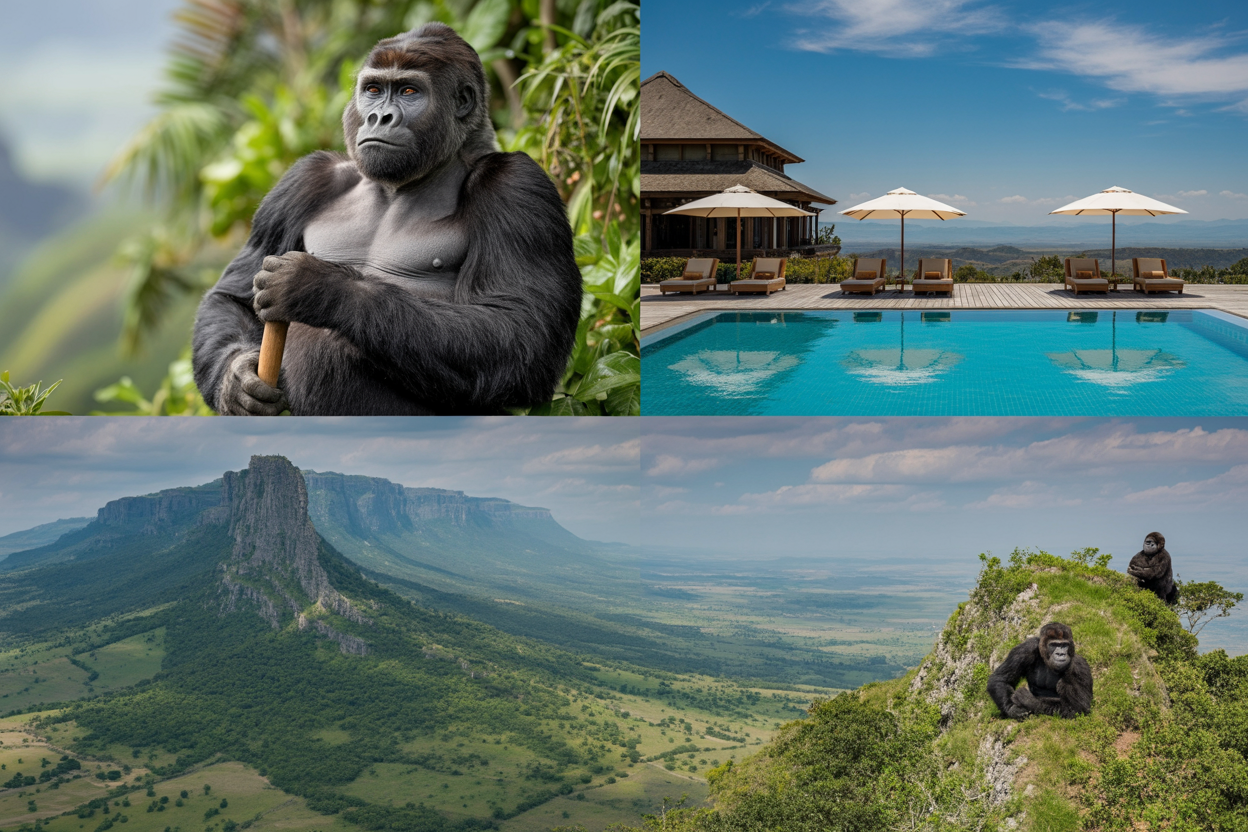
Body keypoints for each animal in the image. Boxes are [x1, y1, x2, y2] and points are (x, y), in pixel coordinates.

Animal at [191, 23, 583, 415]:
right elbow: (231, 298)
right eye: (374, 90)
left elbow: (519, 328)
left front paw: (320, 288)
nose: (379, 117)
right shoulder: (306, 177)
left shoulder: (517, 185)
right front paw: (236, 382)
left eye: (409, 91)